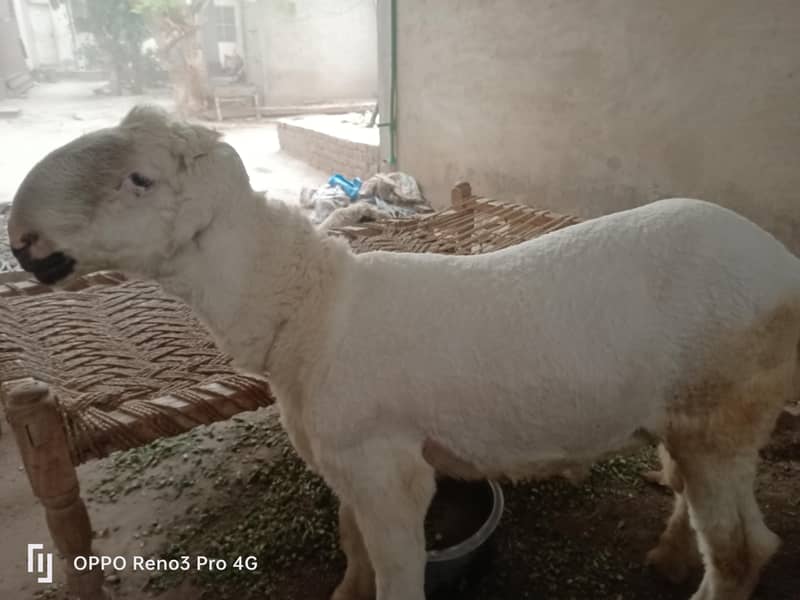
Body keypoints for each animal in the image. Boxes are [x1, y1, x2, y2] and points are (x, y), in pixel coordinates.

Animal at [8, 105, 800, 600]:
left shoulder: (387, 468)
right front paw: (344, 592)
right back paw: (668, 559)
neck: (312, 307)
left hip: (724, 406)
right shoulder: (346, 459)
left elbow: (392, 568)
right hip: (694, 416)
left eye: (140, 178)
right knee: (694, 500)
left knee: (740, 552)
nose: (22, 238)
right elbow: (351, 544)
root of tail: (780, 264)